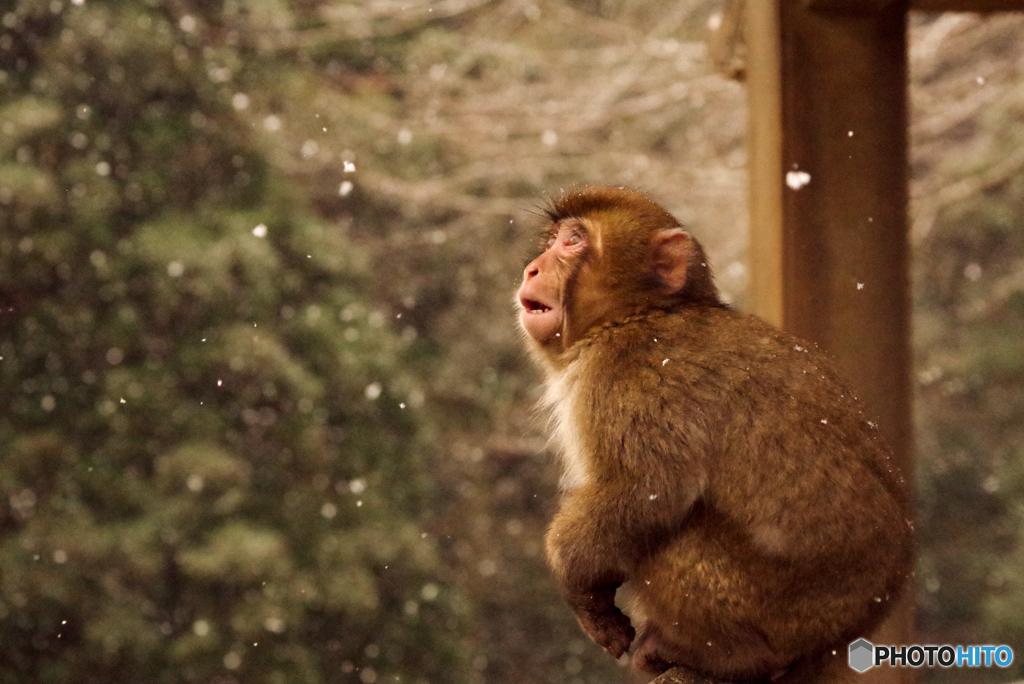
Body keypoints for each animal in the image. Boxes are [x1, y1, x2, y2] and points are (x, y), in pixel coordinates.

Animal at [520, 187, 913, 684]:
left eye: (573, 241)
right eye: (553, 239)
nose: (532, 268)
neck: (638, 315)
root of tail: (838, 640)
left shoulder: (633, 377)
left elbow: (645, 491)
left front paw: (581, 589)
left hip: (771, 612)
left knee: (676, 531)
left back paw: (730, 656)